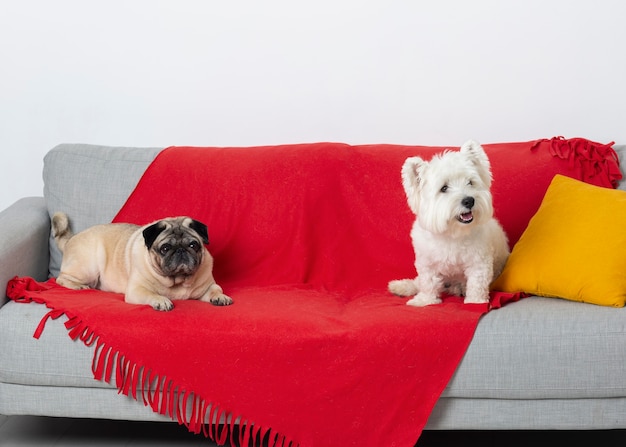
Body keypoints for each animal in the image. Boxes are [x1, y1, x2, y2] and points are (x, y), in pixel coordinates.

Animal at [51, 213, 232, 312]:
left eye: (193, 245)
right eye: (165, 248)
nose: (181, 251)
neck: (177, 281)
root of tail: (71, 239)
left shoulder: (208, 286)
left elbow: (215, 289)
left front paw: (220, 297)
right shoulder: (137, 290)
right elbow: (151, 294)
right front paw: (161, 300)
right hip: (88, 268)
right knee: (61, 278)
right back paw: (79, 286)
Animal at [388, 141, 510, 308]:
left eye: (470, 182)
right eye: (444, 188)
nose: (469, 200)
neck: (452, 233)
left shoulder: (479, 261)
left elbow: (476, 283)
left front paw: (475, 302)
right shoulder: (427, 262)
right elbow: (427, 282)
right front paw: (425, 300)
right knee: (418, 282)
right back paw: (401, 287)